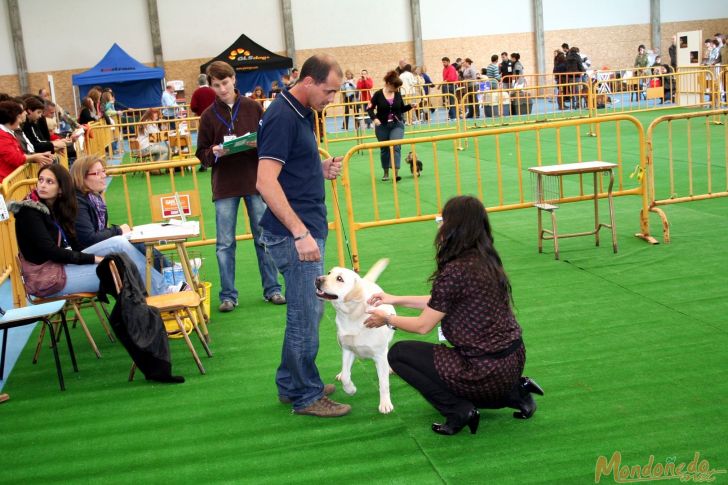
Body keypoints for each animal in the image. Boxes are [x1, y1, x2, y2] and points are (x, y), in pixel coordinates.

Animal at [316, 258, 396, 412]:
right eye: (329, 273)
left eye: (339, 279)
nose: (317, 279)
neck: (351, 316)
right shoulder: (347, 349)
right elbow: (346, 376)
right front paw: (351, 389)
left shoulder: (379, 354)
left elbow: (383, 383)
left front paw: (385, 403)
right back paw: (341, 374)